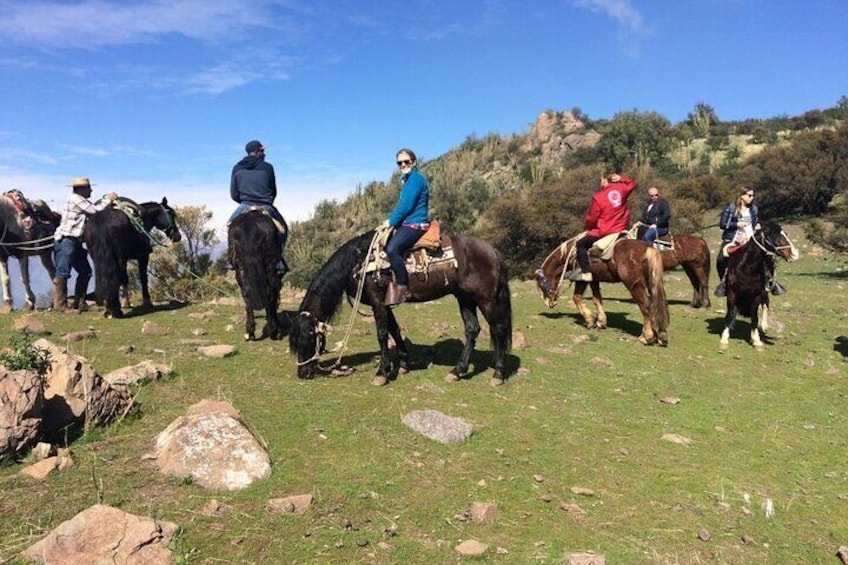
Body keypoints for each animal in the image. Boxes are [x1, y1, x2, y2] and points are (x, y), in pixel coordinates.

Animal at [229, 208, 284, 338]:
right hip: (270, 266)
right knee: (270, 293)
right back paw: (273, 331)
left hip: (239, 268)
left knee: (246, 294)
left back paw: (250, 332)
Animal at [288, 228, 512, 384]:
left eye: (309, 338)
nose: (302, 373)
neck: (359, 262)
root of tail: (492, 250)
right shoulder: (385, 304)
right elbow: (394, 330)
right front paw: (403, 363)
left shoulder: (378, 303)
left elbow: (382, 334)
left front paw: (382, 372)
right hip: (464, 298)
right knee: (472, 329)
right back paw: (458, 371)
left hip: (486, 299)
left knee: (498, 329)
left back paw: (498, 374)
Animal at [536, 234, 668, 344]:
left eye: (541, 284)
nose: (549, 303)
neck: (571, 253)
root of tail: (648, 248)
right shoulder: (594, 280)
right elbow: (597, 299)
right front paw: (601, 321)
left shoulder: (581, 279)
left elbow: (577, 298)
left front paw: (590, 320)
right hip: (651, 283)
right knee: (656, 305)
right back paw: (660, 335)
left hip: (634, 285)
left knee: (646, 306)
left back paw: (646, 337)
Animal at [720, 219, 800, 348]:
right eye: (775, 237)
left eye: (785, 234)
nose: (794, 254)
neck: (747, 267)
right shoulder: (732, 293)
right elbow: (731, 313)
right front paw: (724, 338)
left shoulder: (756, 295)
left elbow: (754, 316)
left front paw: (756, 339)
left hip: (765, 291)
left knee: (765, 304)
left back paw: (764, 326)